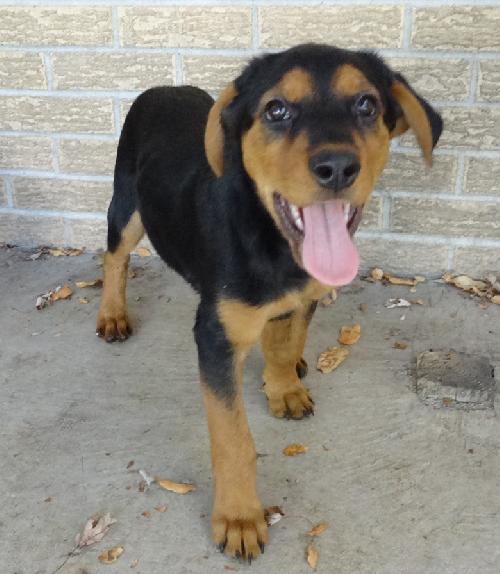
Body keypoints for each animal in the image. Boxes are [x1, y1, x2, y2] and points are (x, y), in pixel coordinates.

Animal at [95, 44, 444, 564]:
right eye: (276, 109)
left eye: (366, 104)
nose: (337, 167)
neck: (275, 243)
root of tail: (165, 87)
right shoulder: (215, 336)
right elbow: (233, 438)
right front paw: (239, 518)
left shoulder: (303, 298)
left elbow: (284, 342)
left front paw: (283, 387)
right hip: (127, 203)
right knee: (115, 257)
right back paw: (112, 314)